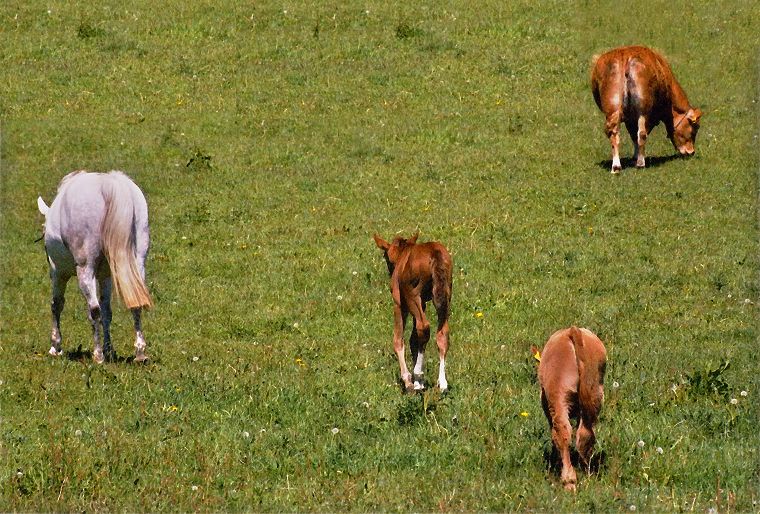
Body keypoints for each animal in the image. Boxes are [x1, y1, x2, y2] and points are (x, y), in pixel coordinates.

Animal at [37, 170, 154, 362]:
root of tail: (107, 184)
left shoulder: (58, 272)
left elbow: (57, 304)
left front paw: (56, 346)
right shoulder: (105, 276)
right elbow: (107, 311)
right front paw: (109, 349)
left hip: (85, 269)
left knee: (94, 310)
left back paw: (98, 355)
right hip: (137, 263)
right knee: (135, 304)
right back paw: (139, 352)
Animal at [374, 230, 452, 390]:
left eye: (386, 257)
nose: (390, 272)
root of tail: (435, 253)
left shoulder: (400, 304)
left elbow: (399, 340)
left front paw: (409, 380)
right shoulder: (423, 303)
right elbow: (414, 339)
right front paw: (418, 383)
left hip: (412, 296)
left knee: (424, 327)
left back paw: (418, 374)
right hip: (444, 295)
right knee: (441, 332)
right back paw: (442, 382)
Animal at [532, 326, 608, 490]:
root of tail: (572, 331)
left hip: (558, 397)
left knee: (562, 431)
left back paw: (569, 480)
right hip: (595, 392)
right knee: (586, 433)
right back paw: (587, 472)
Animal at [592, 44, 704, 172]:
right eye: (695, 127)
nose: (691, 152)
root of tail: (625, 57)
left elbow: (632, 134)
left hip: (614, 108)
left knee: (616, 133)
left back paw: (617, 167)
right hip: (642, 110)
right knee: (641, 133)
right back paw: (640, 163)